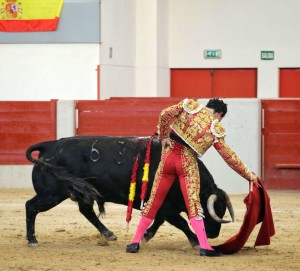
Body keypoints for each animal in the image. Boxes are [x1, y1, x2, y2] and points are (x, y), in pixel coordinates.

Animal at [25, 137, 232, 248]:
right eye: (211, 211)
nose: (213, 234)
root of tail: (51, 145)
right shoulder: (166, 206)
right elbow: (180, 222)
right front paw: (196, 241)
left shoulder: (162, 206)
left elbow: (159, 221)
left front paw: (146, 236)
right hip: (51, 193)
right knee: (31, 207)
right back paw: (32, 240)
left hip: (75, 193)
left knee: (86, 211)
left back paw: (108, 234)